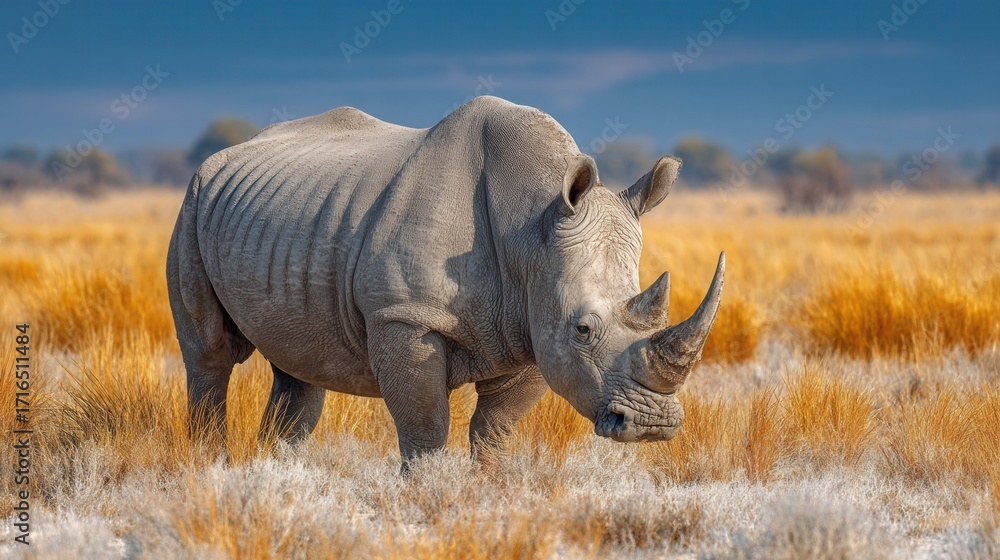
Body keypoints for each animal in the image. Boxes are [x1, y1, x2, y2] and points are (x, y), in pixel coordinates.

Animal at [167, 96, 724, 466]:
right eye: (584, 330)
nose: (652, 424)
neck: (532, 230)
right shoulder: (405, 316)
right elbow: (426, 427)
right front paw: (429, 495)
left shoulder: (532, 324)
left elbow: (495, 428)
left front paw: (493, 489)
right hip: (192, 202)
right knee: (210, 354)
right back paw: (210, 467)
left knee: (298, 364)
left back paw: (279, 472)